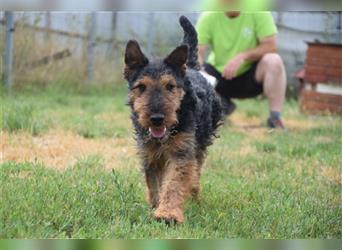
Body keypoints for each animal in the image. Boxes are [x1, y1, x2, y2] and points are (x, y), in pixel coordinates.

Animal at [124, 15, 223, 223]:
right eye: (141, 87)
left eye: (170, 86)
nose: (157, 118)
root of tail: (191, 66)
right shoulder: (150, 154)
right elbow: (155, 184)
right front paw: (156, 206)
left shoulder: (181, 152)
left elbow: (174, 183)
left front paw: (167, 214)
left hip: (200, 142)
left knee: (196, 170)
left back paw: (194, 195)